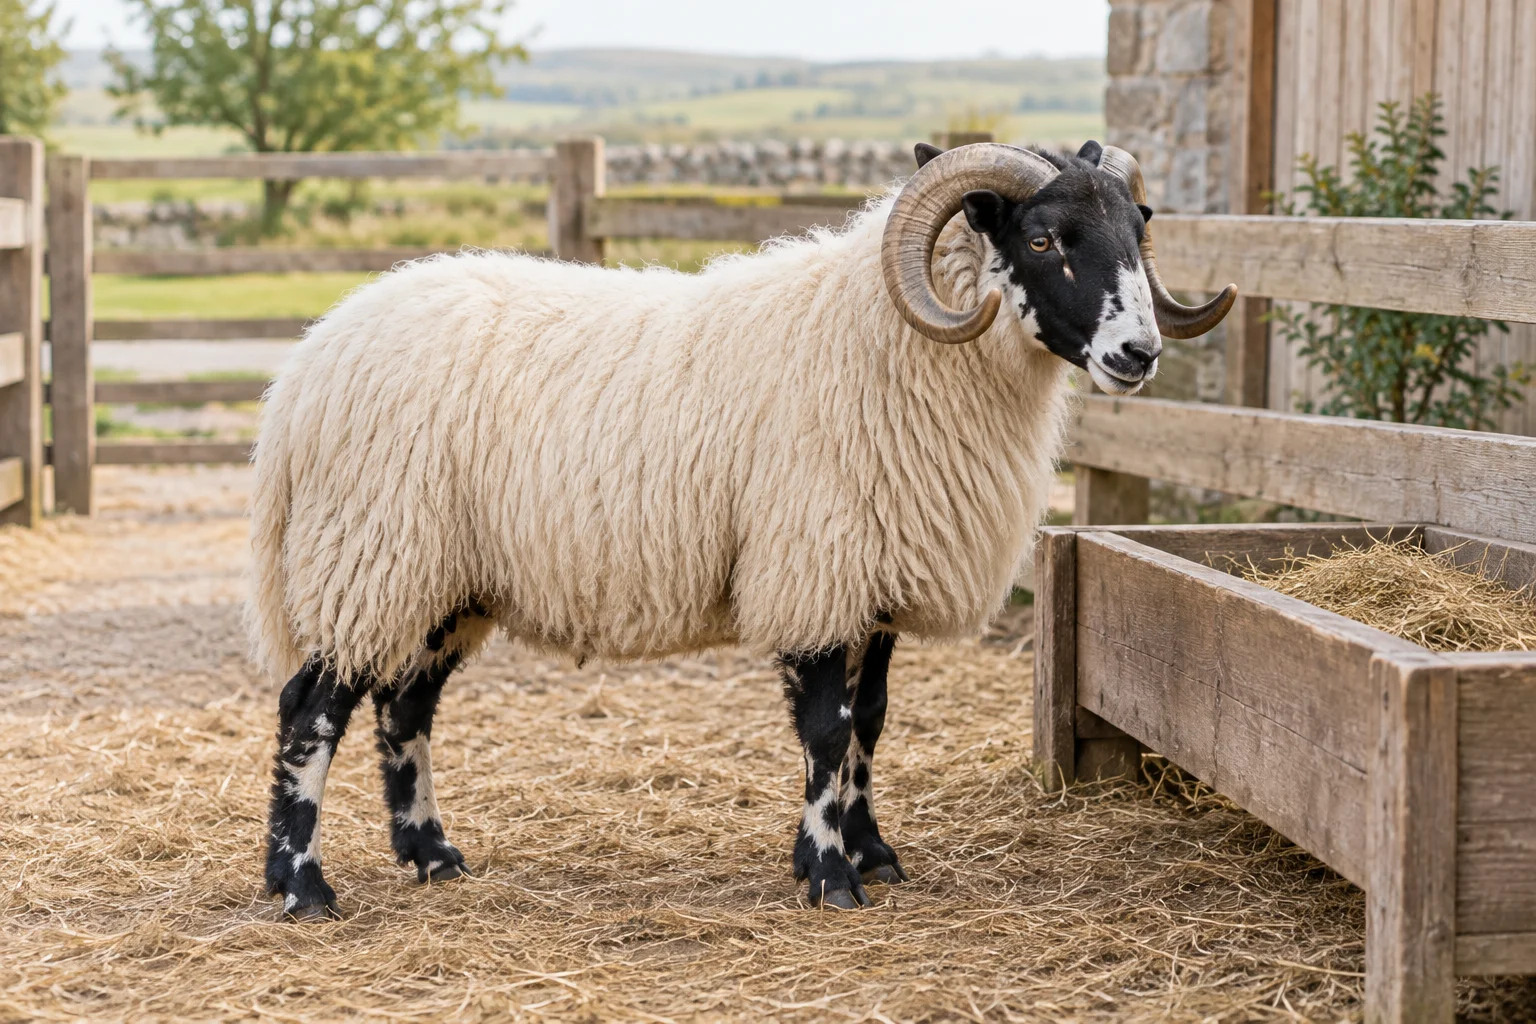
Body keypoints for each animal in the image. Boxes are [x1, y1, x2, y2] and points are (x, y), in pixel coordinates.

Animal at [251, 140, 1236, 919]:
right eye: (1042, 240)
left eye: (1137, 229)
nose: (1138, 355)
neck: (887, 339)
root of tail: (308, 364)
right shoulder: (814, 567)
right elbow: (827, 732)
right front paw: (831, 878)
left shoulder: (872, 580)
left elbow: (870, 722)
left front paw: (872, 851)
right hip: (372, 553)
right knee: (312, 710)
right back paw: (302, 887)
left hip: (442, 580)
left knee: (405, 710)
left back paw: (433, 857)